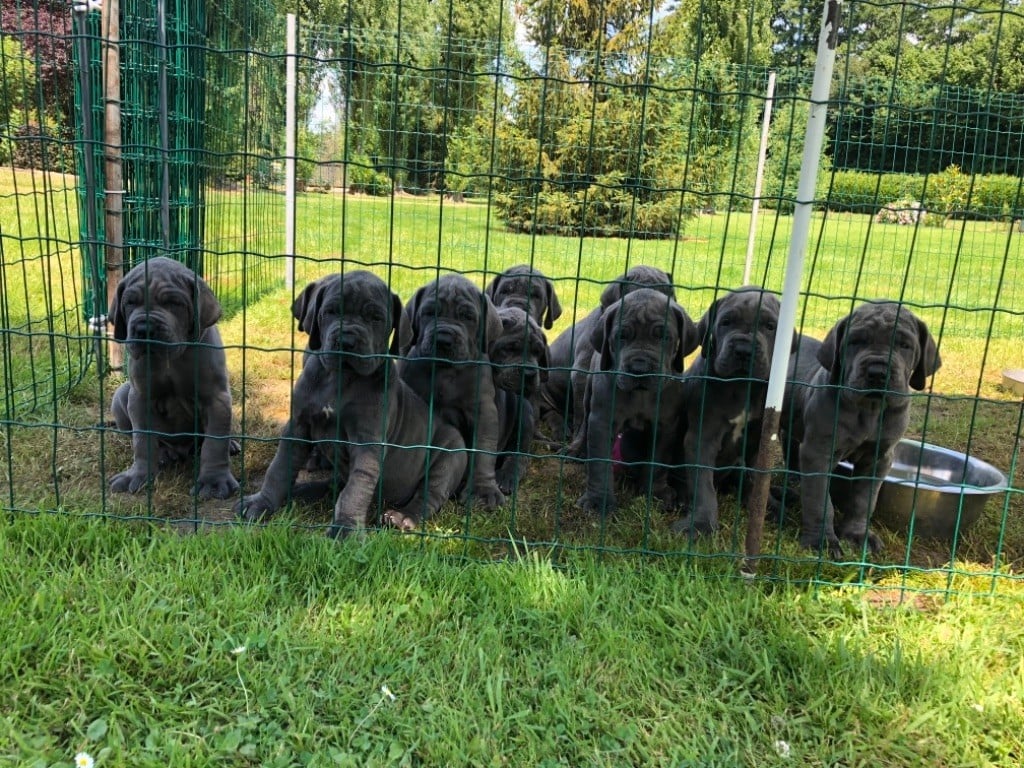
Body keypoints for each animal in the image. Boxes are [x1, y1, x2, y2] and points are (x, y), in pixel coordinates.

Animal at [108, 256, 237, 501]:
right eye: (130, 303)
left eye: (174, 303)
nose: (144, 328)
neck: (171, 360)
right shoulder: (140, 398)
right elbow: (142, 440)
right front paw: (138, 474)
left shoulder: (216, 399)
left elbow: (214, 444)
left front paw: (213, 481)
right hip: (122, 394)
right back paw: (165, 453)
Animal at [234, 274, 466, 536]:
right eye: (331, 311)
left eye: (376, 318)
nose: (347, 340)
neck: (340, 377)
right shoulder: (298, 426)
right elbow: (279, 468)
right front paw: (261, 502)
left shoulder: (367, 444)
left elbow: (356, 488)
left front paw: (345, 528)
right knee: (335, 483)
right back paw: (305, 491)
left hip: (450, 455)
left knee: (429, 496)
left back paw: (403, 517)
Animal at [401, 274, 509, 512]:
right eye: (429, 312)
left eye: (468, 317)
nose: (443, 339)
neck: (445, 371)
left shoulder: (483, 411)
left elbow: (483, 450)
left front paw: (484, 491)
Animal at [577, 288, 696, 518]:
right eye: (621, 336)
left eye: (664, 337)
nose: (639, 368)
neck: (641, 397)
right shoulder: (602, 422)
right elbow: (599, 463)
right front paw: (598, 501)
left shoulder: (666, 425)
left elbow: (658, 461)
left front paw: (656, 493)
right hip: (587, 399)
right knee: (584, 424)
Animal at [782, 301, 942, 561]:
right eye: (855, 341)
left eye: (904, 345)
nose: (877, 371)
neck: (870, 408)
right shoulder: (818, 452)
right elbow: (820, 502)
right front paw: (822, 542)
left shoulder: (878, 458)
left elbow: (863, 500)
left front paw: (857, 536)